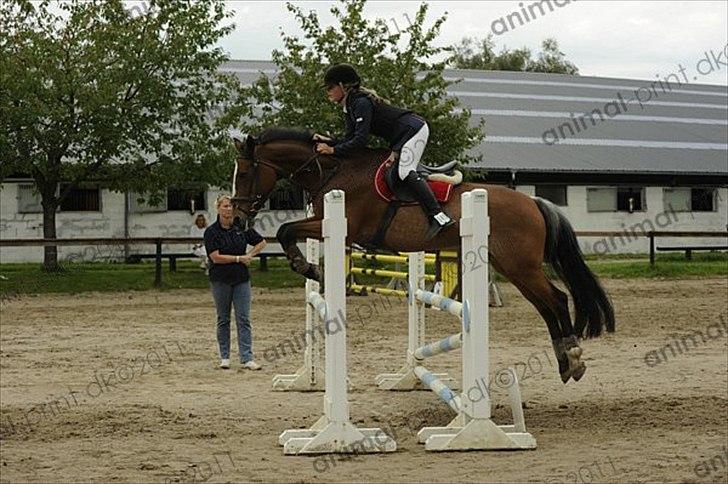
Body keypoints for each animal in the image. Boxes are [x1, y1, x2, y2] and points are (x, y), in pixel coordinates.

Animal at [232, 126, 616, 384]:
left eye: (246, 172)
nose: (236, 217)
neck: (336, 171)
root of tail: (533, 201)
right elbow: (287, 230)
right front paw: (311, 267)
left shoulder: (343, 226)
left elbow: (286, 230)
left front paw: (310, 268)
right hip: (512, 266)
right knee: (546, 305)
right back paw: (566, 363)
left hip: (521, 266)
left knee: (557, 299)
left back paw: (573, 357)